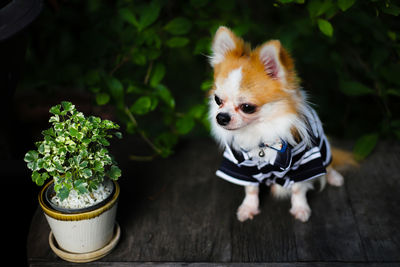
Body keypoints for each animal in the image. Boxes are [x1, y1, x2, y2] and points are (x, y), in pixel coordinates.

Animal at [209, 26, 354, 224]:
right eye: (218, 100)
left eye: (247, 107)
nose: (221, 117)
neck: (261, 134)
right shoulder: (241, 167)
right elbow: (251, 189)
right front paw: (248, 207)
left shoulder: (305, 164)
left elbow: (298, 189)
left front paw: (300, 208)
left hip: (323, 148)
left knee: (328, 165)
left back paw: (334, 177)